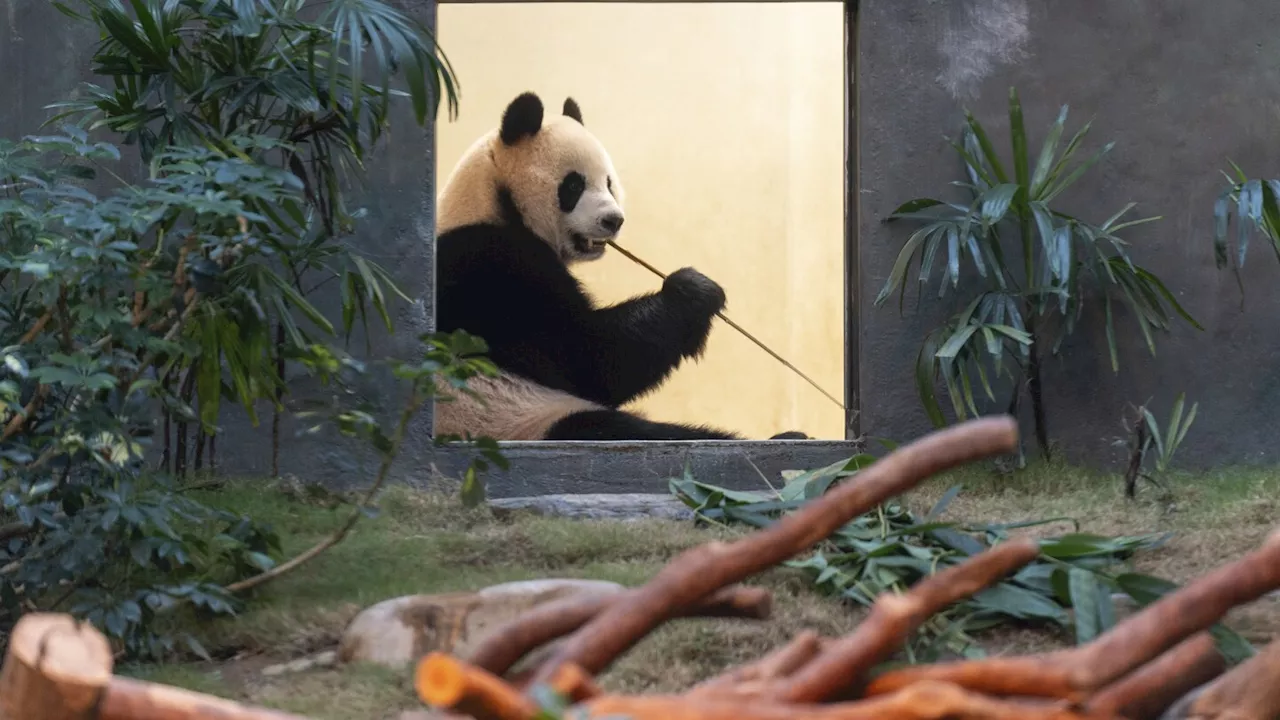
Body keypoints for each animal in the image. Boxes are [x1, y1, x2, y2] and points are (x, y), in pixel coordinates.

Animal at [435, 88, 803, 438]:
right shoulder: (495, 267)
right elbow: (590, 359)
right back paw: (786, 436)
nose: (613, 221)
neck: (490, 201)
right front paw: (693, 290)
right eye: (573, 185)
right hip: (517, 417)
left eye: (609, 182)